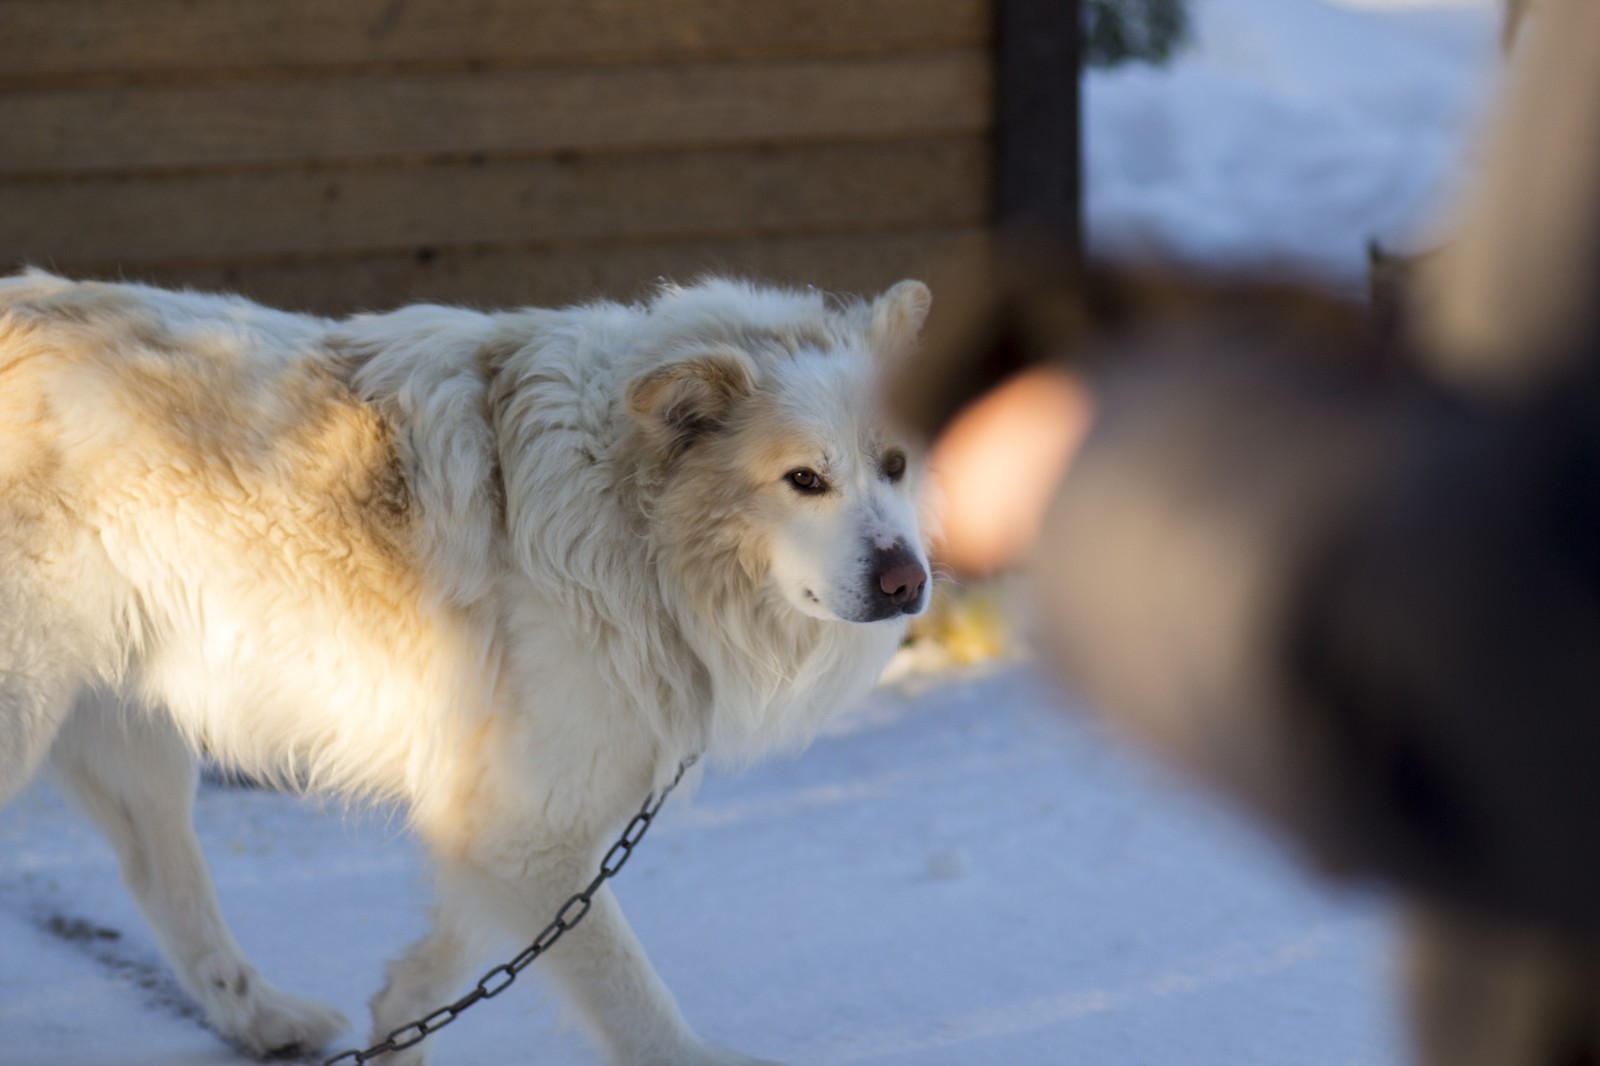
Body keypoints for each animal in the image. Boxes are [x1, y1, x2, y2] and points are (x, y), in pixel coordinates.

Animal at [0, 275, 934, 1062]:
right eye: (803, 479)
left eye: (894, 466)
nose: (908, 582)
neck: (630, 523)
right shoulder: (525, 826)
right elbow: (637, 1008)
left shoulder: (509, 817)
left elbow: (457, 957)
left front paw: (397, 1033)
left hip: (136, 745)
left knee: (164, 880)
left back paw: (266, 1019)